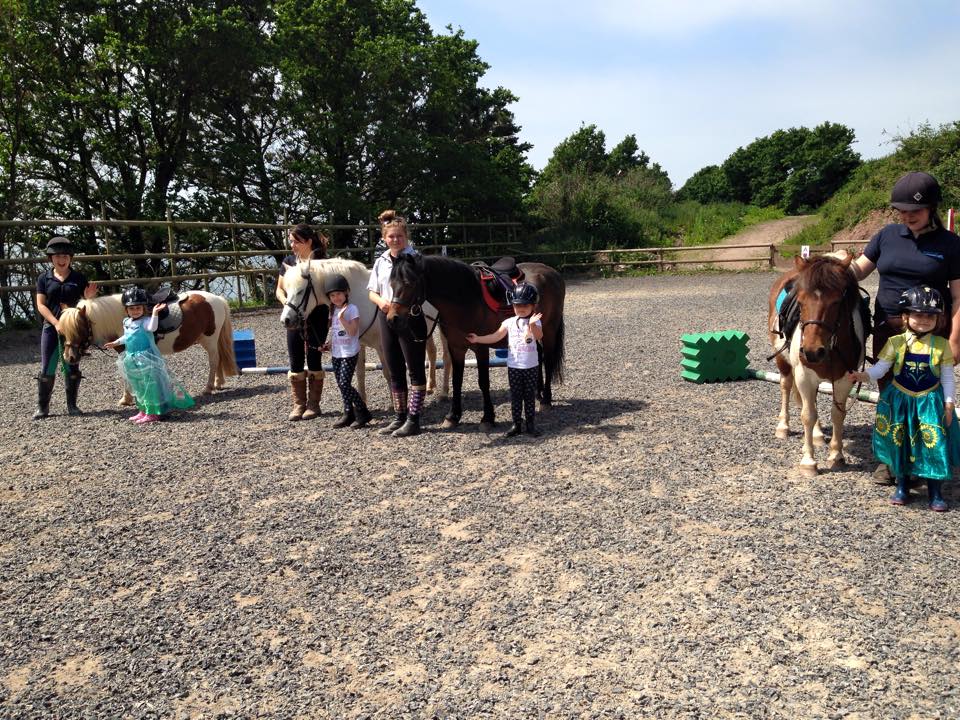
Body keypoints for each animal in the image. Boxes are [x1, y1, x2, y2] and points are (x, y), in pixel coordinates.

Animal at [59, 292, 239, 404]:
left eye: (79, 328)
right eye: (62, 331)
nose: (69, 357)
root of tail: (216, 298)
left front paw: (129, 398)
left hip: (210, 339)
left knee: (214, 360)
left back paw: (208, 387)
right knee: (218, 359)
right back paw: (218, 383)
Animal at [276, 258, 444, 404]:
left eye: (300, 291)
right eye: (286, 290)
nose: (286, 320)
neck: (362, 301)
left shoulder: (381, 346)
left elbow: (388, 373)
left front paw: (393, 403)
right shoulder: (359, 343)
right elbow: (360, 373)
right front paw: (363, 401)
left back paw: (444, 392)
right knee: (432, 351)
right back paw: (430, 387)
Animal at [386, 253, 564, 430]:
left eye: (409, 283)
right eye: (391, 284)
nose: (393, 319)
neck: (465, 300)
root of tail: (551, 272)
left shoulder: (481, 348)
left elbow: (483, 382)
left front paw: (487, 418)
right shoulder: (456, 348)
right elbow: (457, 381)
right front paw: (453, 416)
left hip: (549, 331)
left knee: (548, 360)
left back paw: (546, 400)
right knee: (538, 356)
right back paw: (537, 393)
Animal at [768, 253, 868, 478]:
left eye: (837, 301)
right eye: (801, 301)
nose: (812, 352)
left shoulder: (844, 380)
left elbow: (837, 414)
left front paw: (836, 456)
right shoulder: (804, 377)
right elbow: (807, 415)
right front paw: (808, 462)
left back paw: (818, 435)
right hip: (784, 363)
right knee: (786, 387)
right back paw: (783, 426)